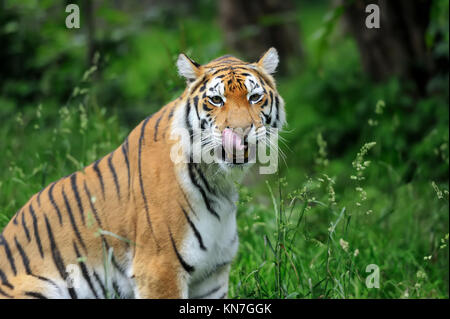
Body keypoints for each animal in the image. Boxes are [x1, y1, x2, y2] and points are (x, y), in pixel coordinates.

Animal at [0, 48, 286, 300]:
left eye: (254, 97)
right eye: (216, 100)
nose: (240, 131)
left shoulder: (211, 276)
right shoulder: (160, 268)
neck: (218, 180)